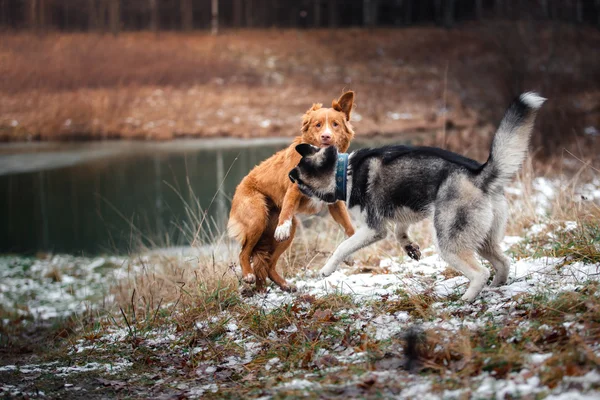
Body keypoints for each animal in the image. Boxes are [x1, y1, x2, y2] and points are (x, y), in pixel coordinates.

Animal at [227, 91, 354, 290]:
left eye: (335, 124)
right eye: (318, 125)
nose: (326, 136)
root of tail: (240, 186)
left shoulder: (335, 203)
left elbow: (349, 228)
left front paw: (349, 253)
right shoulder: (294, 188)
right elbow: (287, 209)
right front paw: (281, 228)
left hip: (289, 231)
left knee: (269, 264)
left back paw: (285, 284)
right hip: (257, 218)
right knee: (244, 252)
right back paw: (248, 275)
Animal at [288, 93, 548, 300]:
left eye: (299, 180)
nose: (289, 176)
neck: (345, 171)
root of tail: (479, 175)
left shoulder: (373, 229)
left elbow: (343, 246)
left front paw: (327, 269)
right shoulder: (407, 209)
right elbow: (399, 231)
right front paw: (410, 247)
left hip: (448, 243)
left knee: (480, 272)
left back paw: (467, 298)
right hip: (483, 239)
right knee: (503, 262)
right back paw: (496, 286)